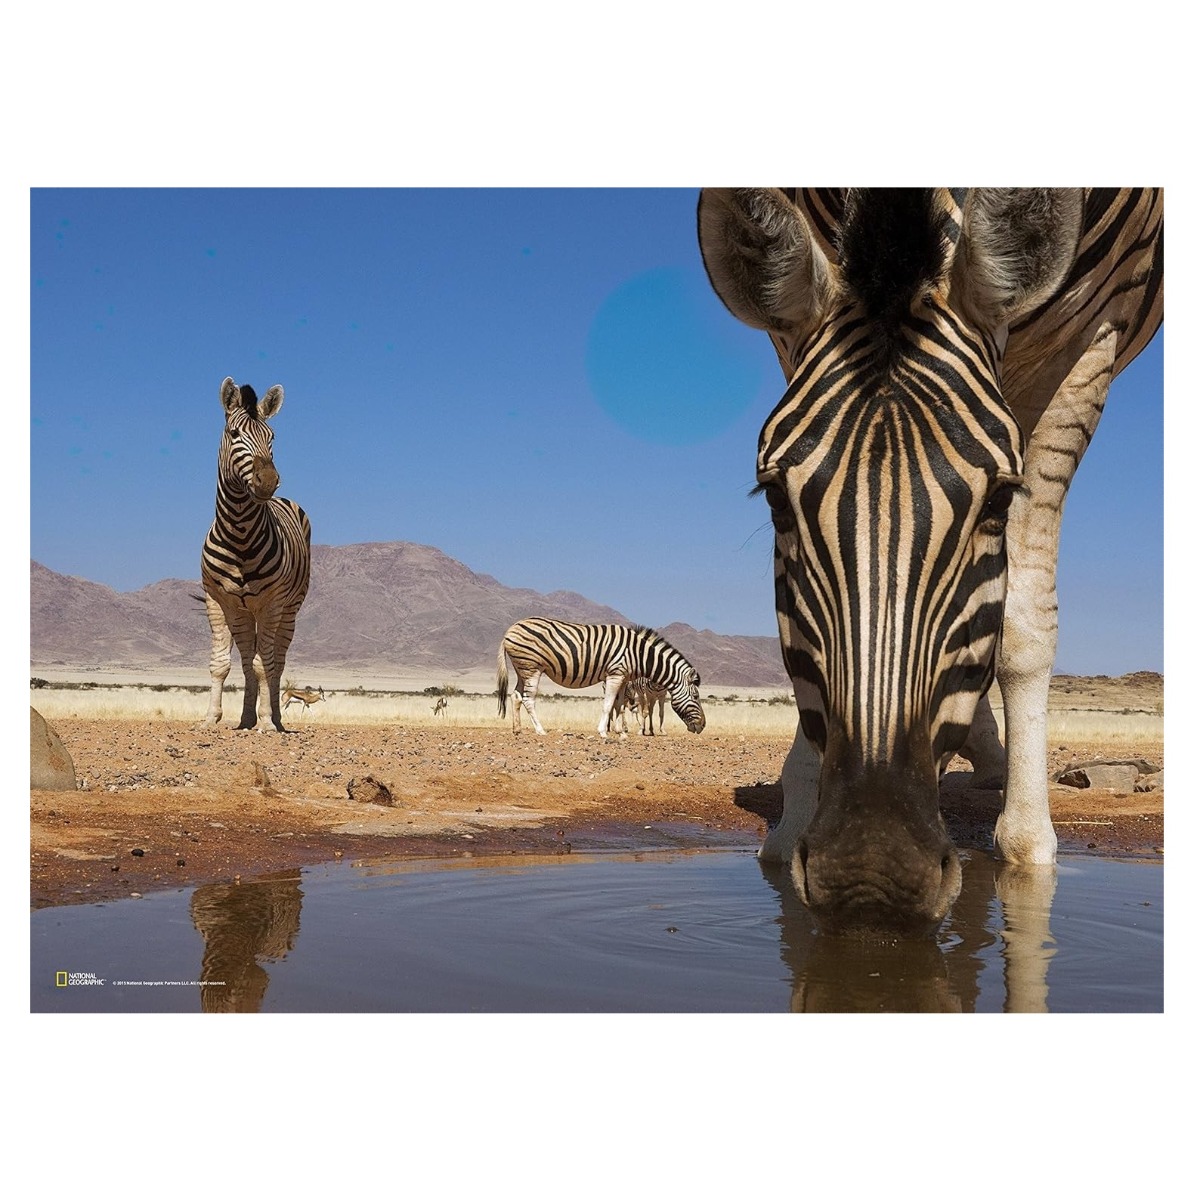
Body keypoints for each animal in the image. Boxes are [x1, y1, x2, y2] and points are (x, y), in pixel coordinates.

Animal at [201, 377, 312, 733]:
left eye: (271, 437)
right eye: (234, 434)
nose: (268, 481)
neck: (239, 532)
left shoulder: (272, 603)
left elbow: (267, 665)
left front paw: (266, 722)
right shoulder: (217, 600)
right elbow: (221, 664)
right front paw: (211, 718)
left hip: (288, 610)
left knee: (277, 660)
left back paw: (273, 717)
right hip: (243, 613)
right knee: (248, 658)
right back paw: (246, 717)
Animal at [496, 618, 706, 737]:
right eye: (696, 697)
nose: (702, 726)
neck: (639, 655)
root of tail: (510, 629)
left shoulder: (623, 678)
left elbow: (619, 705)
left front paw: (620, 732)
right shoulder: (615, 674)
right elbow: (608, 704)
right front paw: (603, 732)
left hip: (522, 668)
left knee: (516, 696)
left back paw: (517, 729)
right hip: (532, 667)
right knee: (528, 699)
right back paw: (540, 730)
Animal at [698, 188, 1162, 936]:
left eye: (1000, 500)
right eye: (773, 497)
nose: (870, 876)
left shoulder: (1096, 331)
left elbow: (1023, 618)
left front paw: (1029, 844)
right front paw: (796, 807)